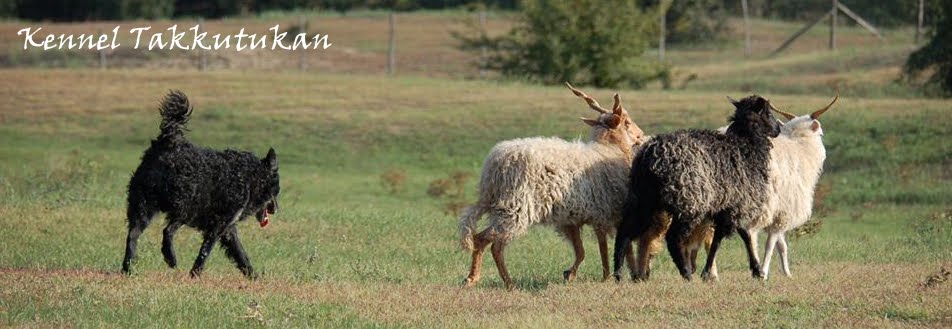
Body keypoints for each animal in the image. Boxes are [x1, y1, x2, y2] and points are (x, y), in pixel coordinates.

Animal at [121, 91, 280, 278]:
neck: (248, 177)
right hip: (186, 206)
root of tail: (170, 142)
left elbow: (241, 254)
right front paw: (194, 274)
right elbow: (205, 252)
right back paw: (170, 257)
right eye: (276, 193)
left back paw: (128, 268)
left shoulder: (228, 229)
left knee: (133, 235)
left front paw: (253, 277)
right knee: (168, 231)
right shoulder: (219, 225)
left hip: (144, 205)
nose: (276, 210)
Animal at [460, 83, 648, 288]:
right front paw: (612, 276)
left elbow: (582, 250)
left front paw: (570, 274)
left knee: (480, 239)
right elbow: (608, 248)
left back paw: (473, 278)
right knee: (493, 243)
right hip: (516, 207)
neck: (609, 149)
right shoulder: (605, 213)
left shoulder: (573, 218)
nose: (642, 136)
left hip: (499, 205)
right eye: (627, 122)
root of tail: (494, 167)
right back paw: (505, 283)